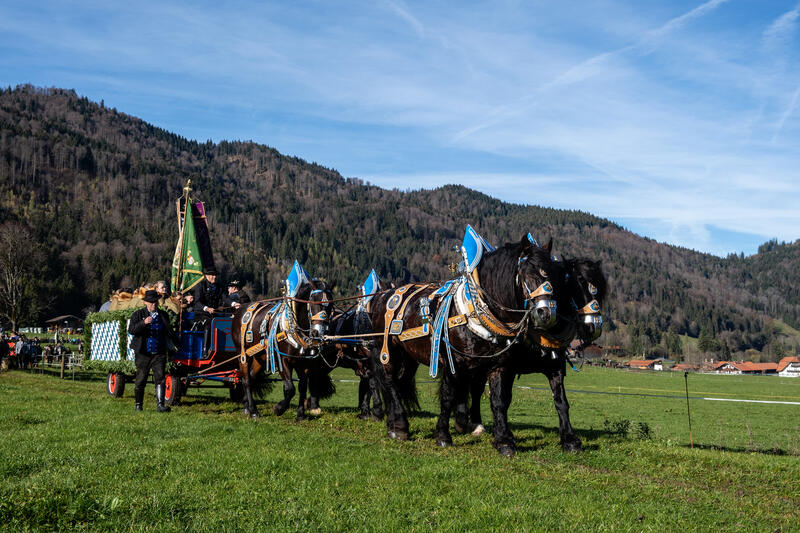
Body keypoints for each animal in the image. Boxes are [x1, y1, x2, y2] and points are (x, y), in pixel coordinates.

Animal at [462, 255, 608, 454]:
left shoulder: (555, 367)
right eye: (578, 283)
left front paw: (570, 439)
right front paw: (503, 438)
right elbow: (502, 399)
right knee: (475, 389)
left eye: (600, 287)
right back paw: (475, 424)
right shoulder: (507, 368)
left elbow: (561, 402)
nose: (593, 327)